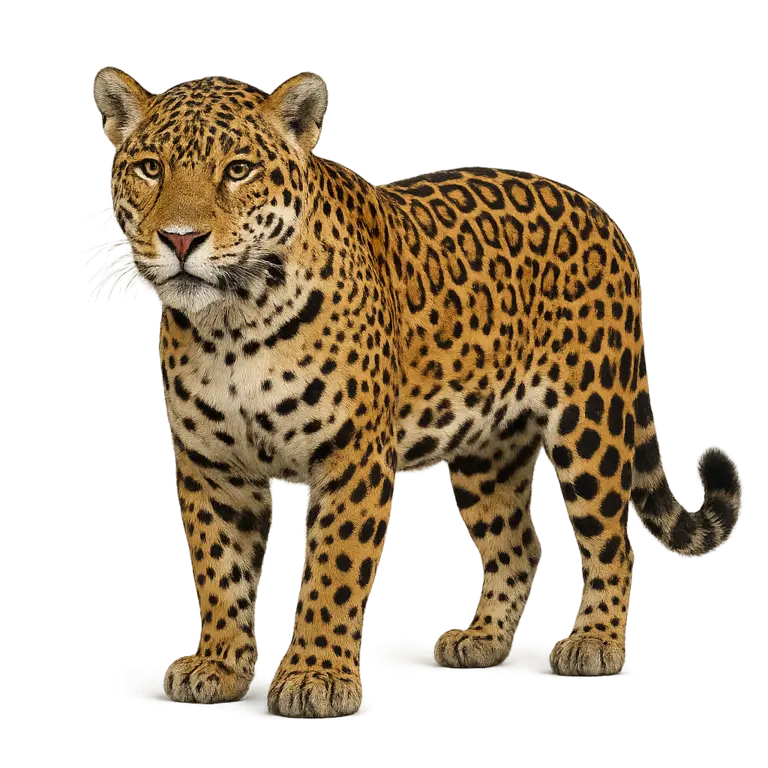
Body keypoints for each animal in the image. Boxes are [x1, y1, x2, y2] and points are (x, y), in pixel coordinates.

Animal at [92, 67, 743, 719]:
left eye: (237, 170)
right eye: (150, 168)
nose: (181, 240)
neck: (234, 323)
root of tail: (598, 210)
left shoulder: (353, 456)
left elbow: (333, 570)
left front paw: (315, 676)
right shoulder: (211, 464)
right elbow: (218, 570)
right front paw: (218, 665)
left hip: (591, 419)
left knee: (610, 539)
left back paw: (595, 641)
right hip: (487, 449)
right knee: (517, 545)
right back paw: (481, 638)